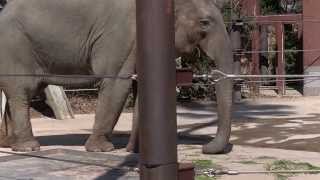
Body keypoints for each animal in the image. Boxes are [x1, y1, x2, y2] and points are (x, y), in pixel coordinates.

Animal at [0, 0, 232, 154]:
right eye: (204, 23)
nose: (205, 147)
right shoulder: (122, 35)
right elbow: (116, 83)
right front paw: (102, 150)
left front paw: (134, 152)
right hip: (15, 47)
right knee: (22, 92)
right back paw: (28, 147)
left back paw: (10, 145)